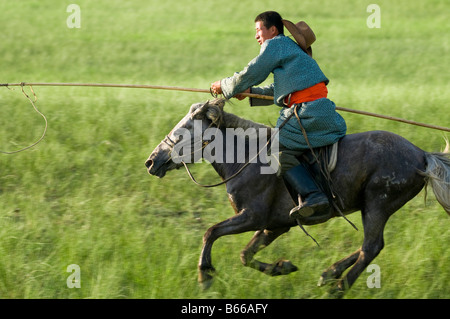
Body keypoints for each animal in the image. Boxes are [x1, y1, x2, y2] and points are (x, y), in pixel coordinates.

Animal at [146, 99, 448, 296]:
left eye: (183, 130)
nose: (151, 161)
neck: (246, 157)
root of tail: (422, 155)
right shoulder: (275, 225)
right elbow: (245, 255)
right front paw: (283, 267)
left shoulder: (251, 217)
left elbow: (211, 232)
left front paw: (204, 275)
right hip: (372, 207)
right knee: (368, 247)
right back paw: (329, 274)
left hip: (377, 204)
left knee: (371, 246)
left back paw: (339, 287)